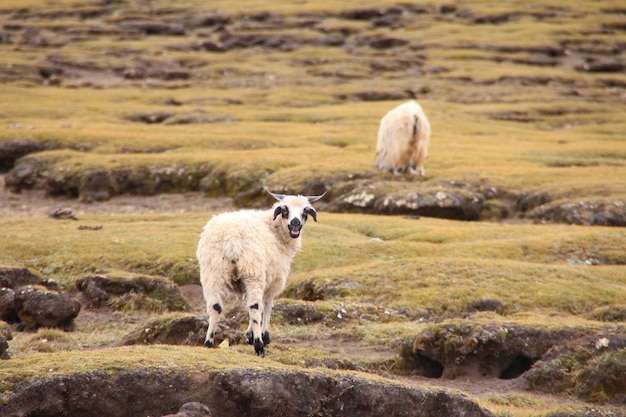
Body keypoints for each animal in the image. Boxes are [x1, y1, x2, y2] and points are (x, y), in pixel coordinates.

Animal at [195, 188, 324, 354]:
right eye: (285, 210)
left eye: (304, 211)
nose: (295, 222)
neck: (275, 229)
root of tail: (231, 239)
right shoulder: (273, 279)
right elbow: (267, 304)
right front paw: (263, 336)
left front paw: (249, 335)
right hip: (252, 272)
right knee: (255, 306)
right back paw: (259, 345)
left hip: (213, 272)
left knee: (215, 306)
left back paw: (209, 342)